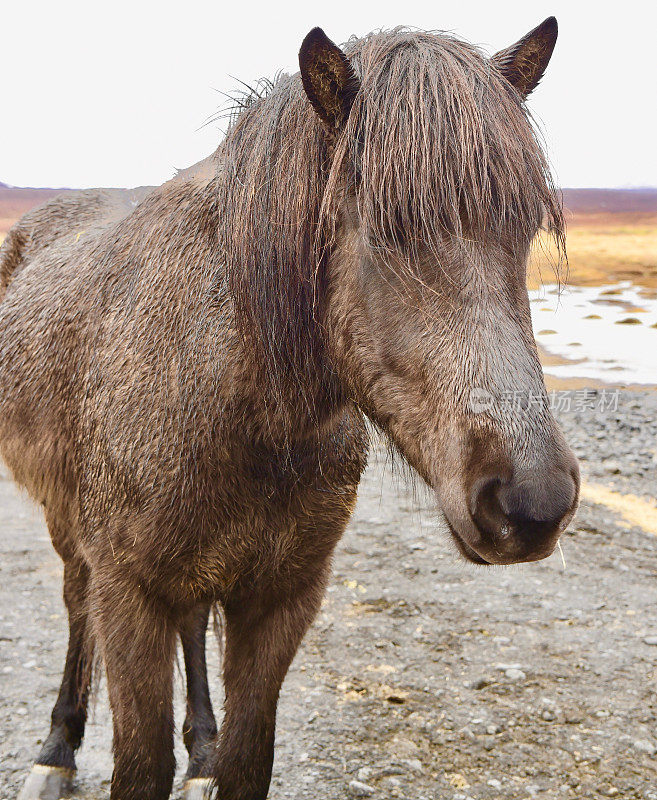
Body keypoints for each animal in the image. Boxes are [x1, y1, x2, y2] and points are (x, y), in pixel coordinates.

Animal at [2, 18, 580, 800]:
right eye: (383, 229)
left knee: (192, 623)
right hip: (69, 526)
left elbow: (247, 758)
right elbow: (140, 760)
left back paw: (200, 749)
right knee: (74, 603)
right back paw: (56, 750)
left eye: (523, 229)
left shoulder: (284, 599)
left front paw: (213, 755)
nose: (532, 501)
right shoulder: (130, 596)